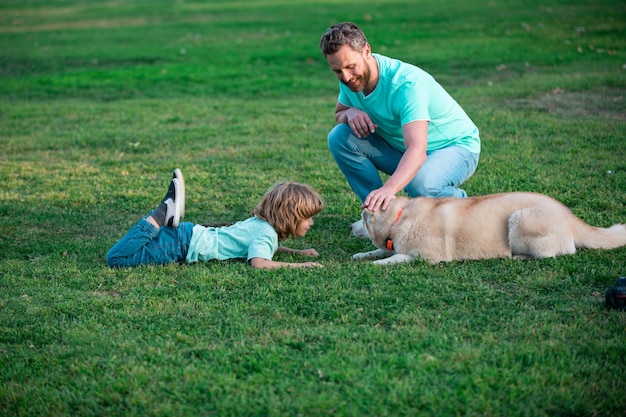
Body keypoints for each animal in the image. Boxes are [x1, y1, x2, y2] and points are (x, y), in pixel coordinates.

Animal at [348, 193, 624, 264]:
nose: (351, 227)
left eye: (361, 217)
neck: (399, 217)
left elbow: (398, 257)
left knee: (553, 253)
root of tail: (571, 216)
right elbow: (381, 250)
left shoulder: (428, 258)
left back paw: (517, 257)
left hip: (519, 220)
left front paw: (377, 264)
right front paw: (362, 255)